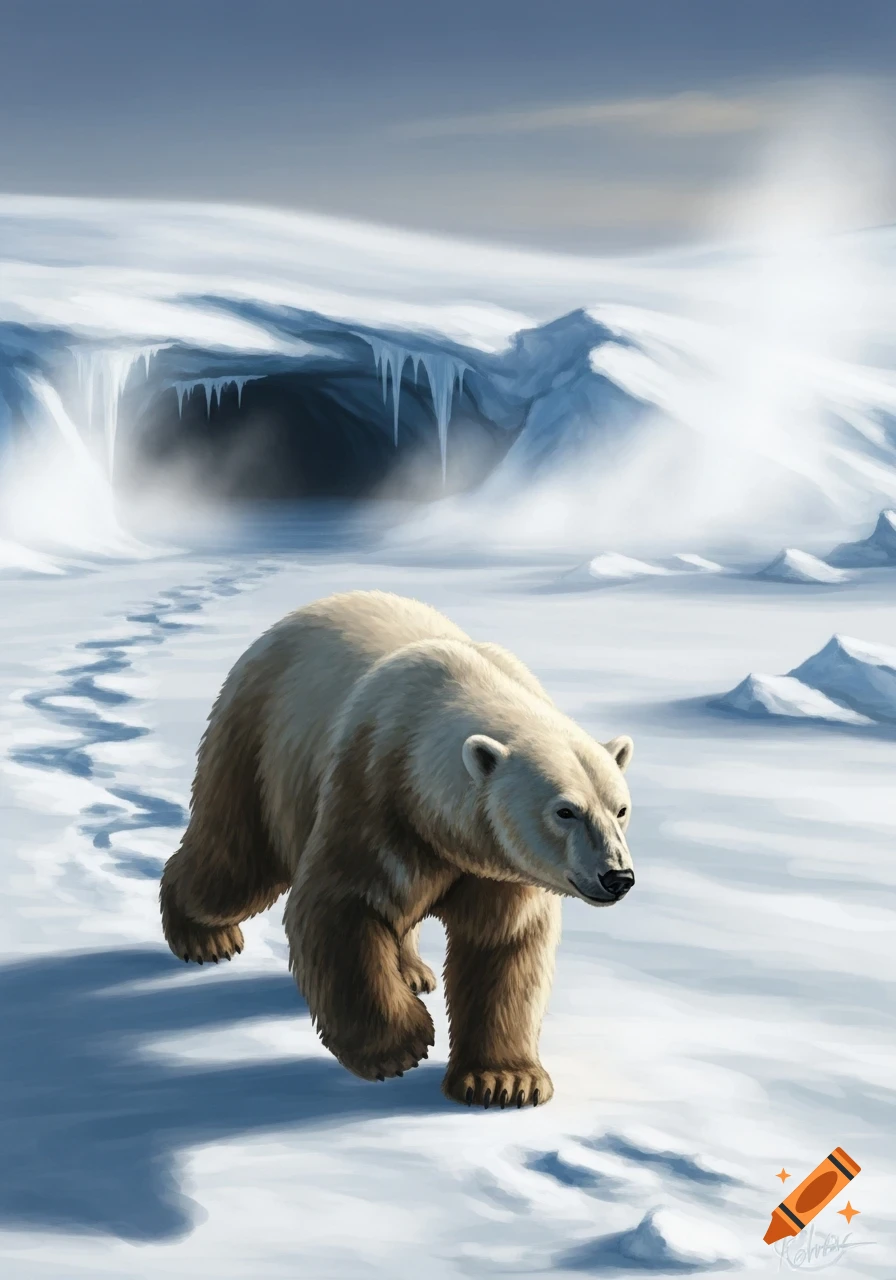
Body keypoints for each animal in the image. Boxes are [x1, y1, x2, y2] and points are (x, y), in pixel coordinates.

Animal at [160, 590, 635, 1108]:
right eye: (565, 811)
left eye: (620, 809)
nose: (617, 876)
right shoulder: (371, 789)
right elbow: (341, 909)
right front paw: (401, 1045)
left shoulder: (496, 866)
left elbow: (504, 945)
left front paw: (505, 1080)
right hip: (259, 744)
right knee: (235, 867)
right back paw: (204, 936)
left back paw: (412, 971)